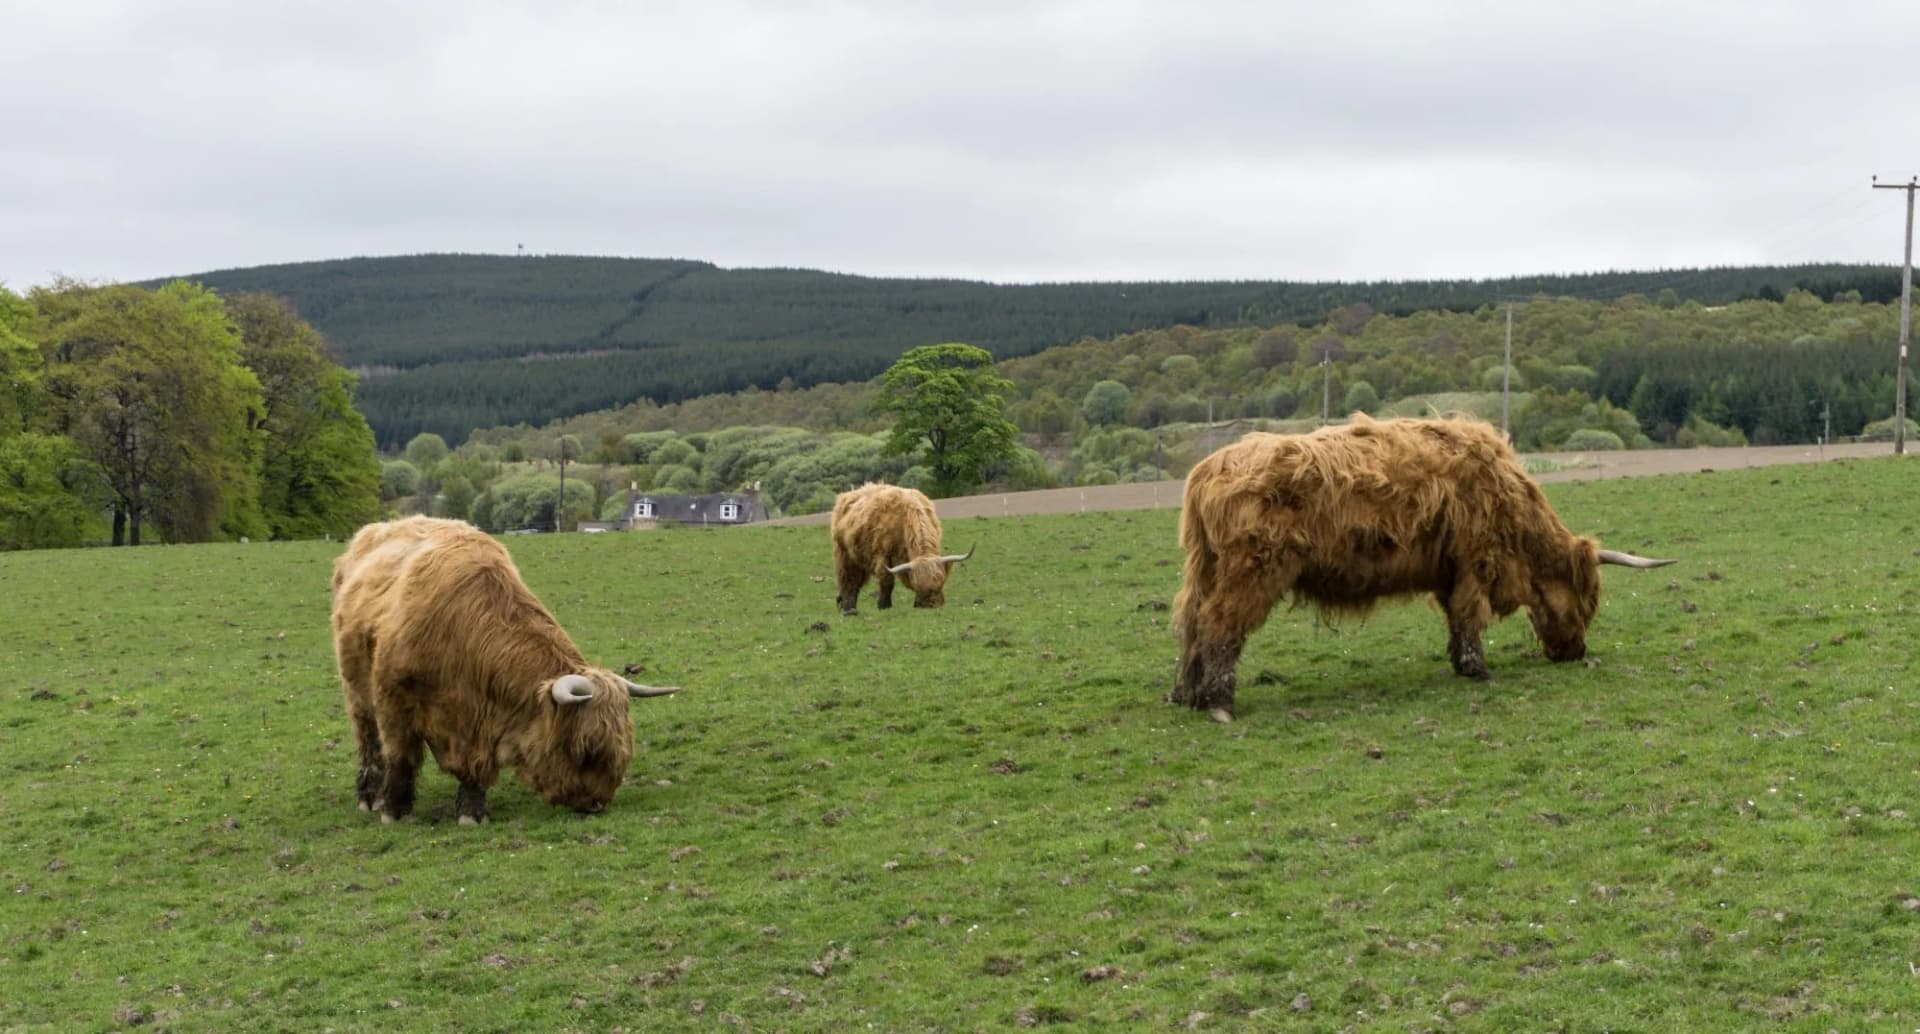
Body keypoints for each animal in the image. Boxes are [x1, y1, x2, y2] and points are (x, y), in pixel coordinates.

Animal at [330, 516, 678, 824]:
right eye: (584, 750)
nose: (596, 803)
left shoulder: (477, 725)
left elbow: (474, 769)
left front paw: (472, 811)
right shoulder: (394, 702)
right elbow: (400, 756)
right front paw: (394, 809)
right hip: (358, 691)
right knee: (368, 740)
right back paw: (369, 797)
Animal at [830, 483, 973, 614]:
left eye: (941, 582)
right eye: (917, 586)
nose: (930, 605)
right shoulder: (882, 555)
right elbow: (887, 580)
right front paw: (884, 605)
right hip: (844, 554)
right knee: (848, 580)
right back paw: (849, 609)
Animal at [1169, 416, 1672, 722]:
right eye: (1588, 603)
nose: (1575, 652)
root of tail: (1208, 468)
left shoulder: (1450, 568)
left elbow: (1456, 618)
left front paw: (1462, 664)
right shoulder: (1476, 560)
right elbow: (1469, 615)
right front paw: (1479, 670)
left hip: (1205, 567)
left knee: (1192, 620)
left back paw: (1186, 695)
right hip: (1252, 569)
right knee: (1221, 624)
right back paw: (1219, 703)